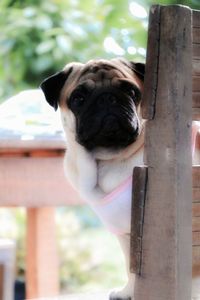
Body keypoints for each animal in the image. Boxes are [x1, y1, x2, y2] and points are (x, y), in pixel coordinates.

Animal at [41, 58, 145, 300]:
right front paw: (129, 292)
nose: (107, 98)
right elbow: (131, 266)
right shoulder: (126, 232)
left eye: (131, 91)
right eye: (78, 99)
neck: (106, 160)